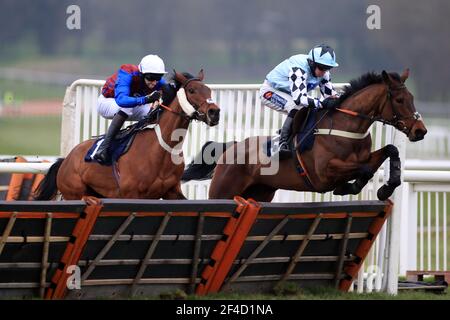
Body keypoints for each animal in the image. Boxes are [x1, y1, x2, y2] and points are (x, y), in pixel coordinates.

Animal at [34, 70, 221, 200]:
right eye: (192, 90)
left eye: (209, 90)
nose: (215, 112)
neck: (161, 151)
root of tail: (66, 160)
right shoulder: (131, 195)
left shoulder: (172, 192)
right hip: (74, 193)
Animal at [181, 69, 428, 201]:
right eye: (399, 100)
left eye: (412, 97)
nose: (420, 130)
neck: (347, 127)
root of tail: (230, 148)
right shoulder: (324, 172)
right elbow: (365, 169)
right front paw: (350, 187)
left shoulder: (363, 156)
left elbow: (389, 151)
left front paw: (387, 187)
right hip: (223, 192)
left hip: (260, 193)